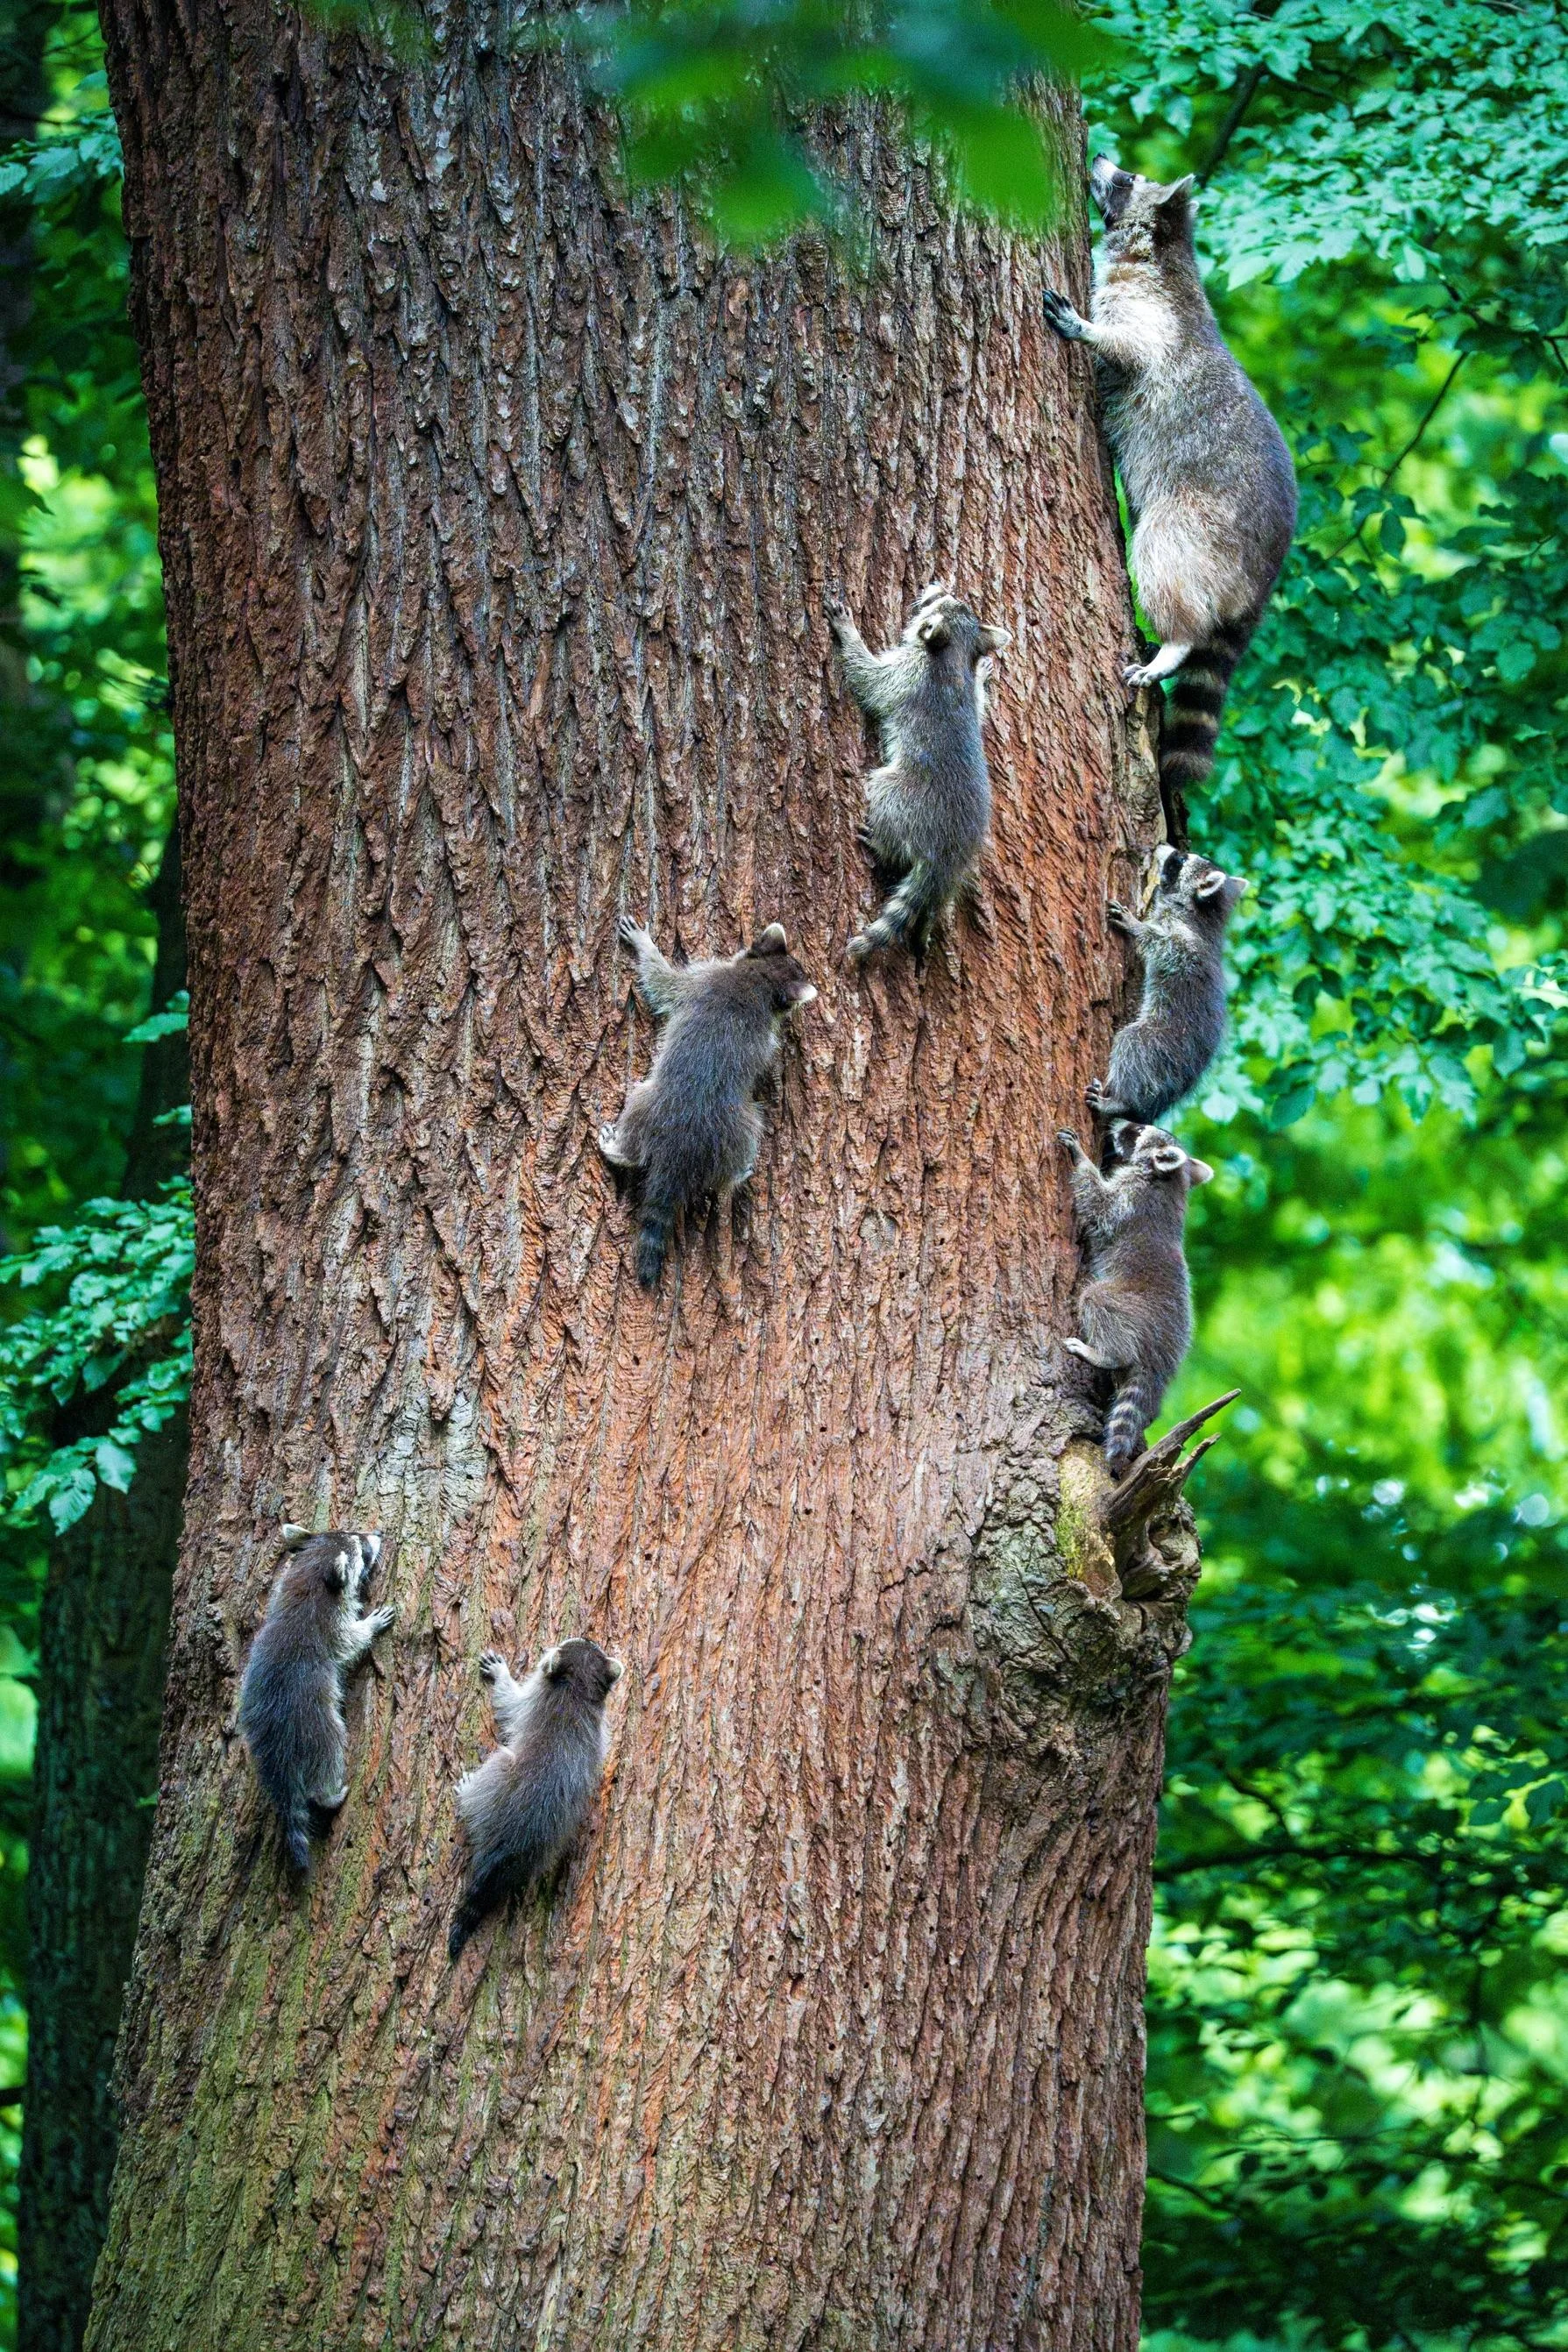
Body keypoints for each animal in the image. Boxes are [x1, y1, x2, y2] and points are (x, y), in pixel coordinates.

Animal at [827, 582, 1010, 963]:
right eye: (952, 598)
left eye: (937, 602)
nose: (935, 584)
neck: (953, 653)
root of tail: (946, 855)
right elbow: (978, 709)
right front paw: (983, 676)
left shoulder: (908, 673)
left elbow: (869, 680)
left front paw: (849, 635)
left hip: (906, 797)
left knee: (883, 791)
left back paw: (884, 844)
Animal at [1043, 158, 1296, 811]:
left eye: (1127, 177)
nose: (1099, 156)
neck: (1167, 251)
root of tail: (1263, 573)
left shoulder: (1151, 313)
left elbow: (1128, 346)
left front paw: (1086, 331)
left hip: (1201, 523)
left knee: (1162, 553)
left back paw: (1175, 641)